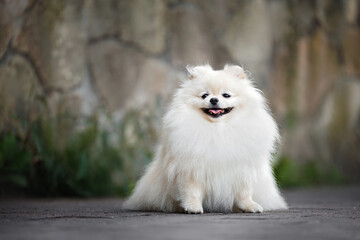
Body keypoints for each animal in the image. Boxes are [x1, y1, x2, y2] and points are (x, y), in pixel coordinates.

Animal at [124, 64, 286, 214]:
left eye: (226, 95)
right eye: (204, 95)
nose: (213, 99)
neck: (217, 128)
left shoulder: (243, 169)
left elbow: (244, 192)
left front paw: (248, 206)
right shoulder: (191, 170)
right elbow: (192, 191)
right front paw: (192, 207)